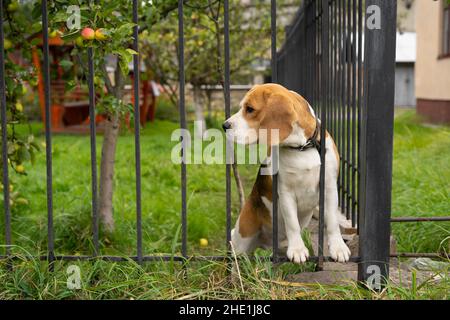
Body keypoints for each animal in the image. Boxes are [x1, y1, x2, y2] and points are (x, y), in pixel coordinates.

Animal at [223, 82, 350, 262]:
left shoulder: (330, 187)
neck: (303, 148)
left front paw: (338, 247)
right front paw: (297, 249)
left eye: (250, 109)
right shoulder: (285, 192)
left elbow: (332, 221)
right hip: (241, 241)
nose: (224, 125)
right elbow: (292, 223)